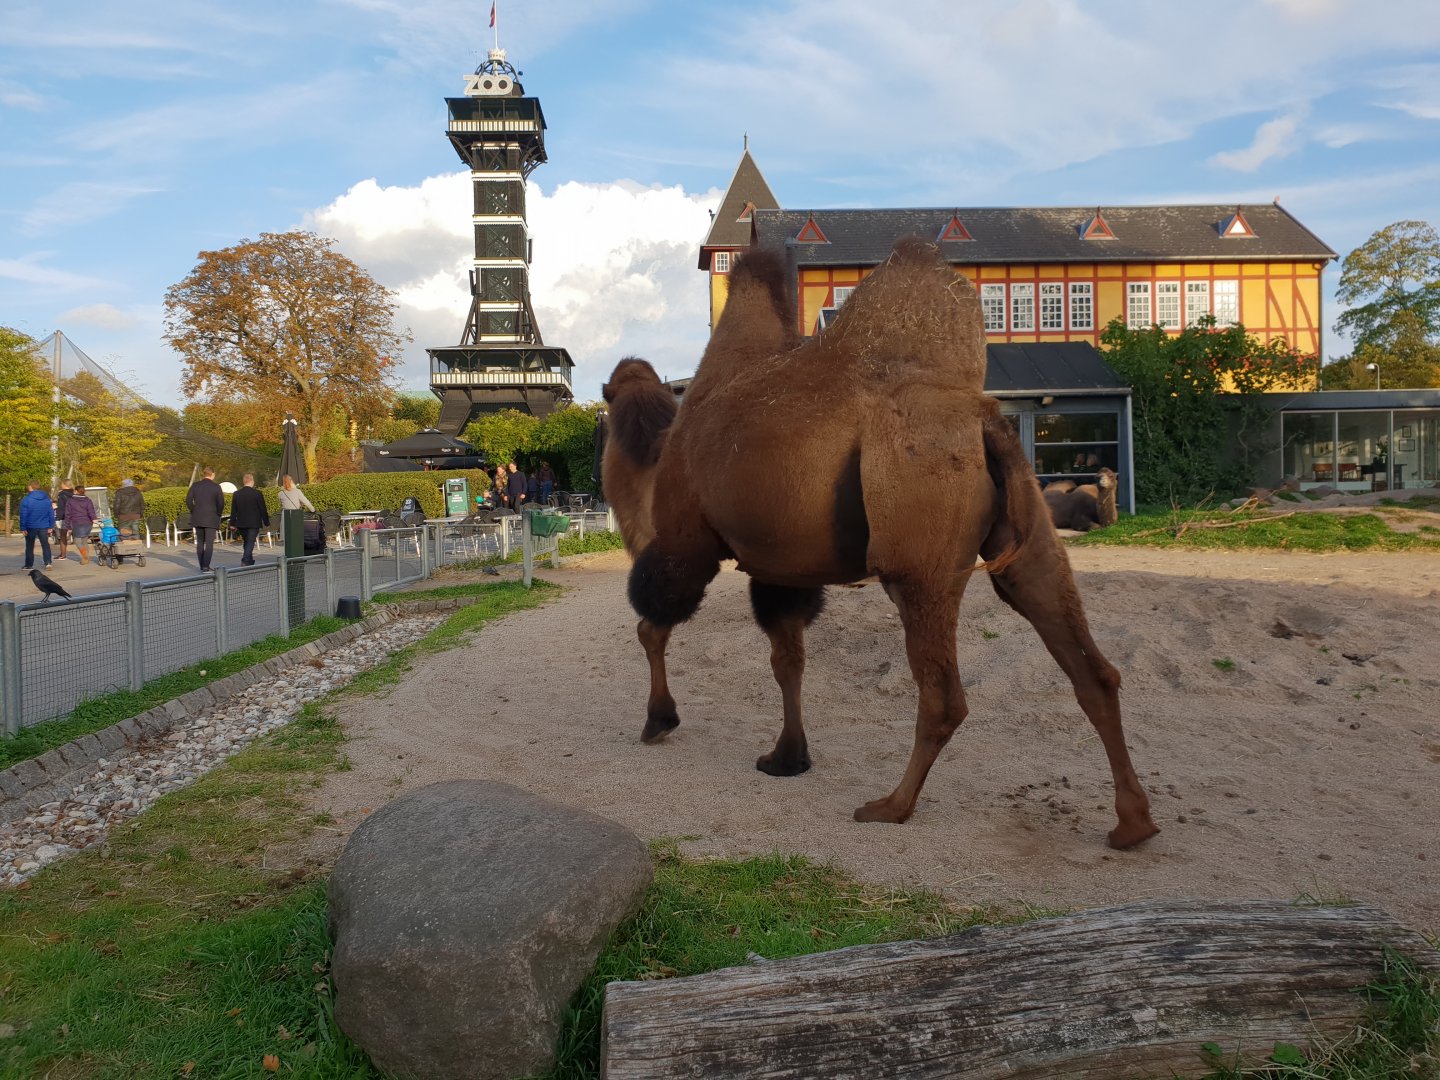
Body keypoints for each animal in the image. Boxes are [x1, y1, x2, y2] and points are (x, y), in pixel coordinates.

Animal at [601, 238, 1157, 849]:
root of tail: (984, 419)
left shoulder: (687, 539)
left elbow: (652, 623)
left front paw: (659, 720)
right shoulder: (778, 567)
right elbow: (787, 657)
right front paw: (787, 757)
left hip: (916, 558)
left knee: (943, 695)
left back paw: (892, 805)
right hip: (1028, 542)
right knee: (1088, 665)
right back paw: (1134, 822)